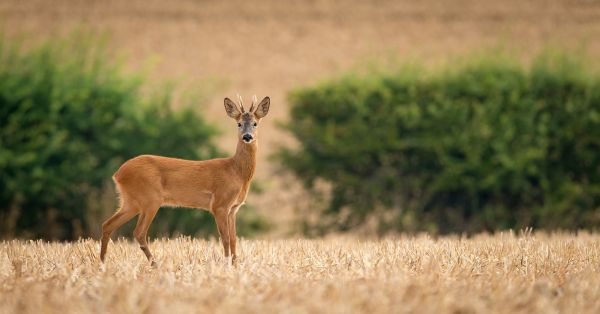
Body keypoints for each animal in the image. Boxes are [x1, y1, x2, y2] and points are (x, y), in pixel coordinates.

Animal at [100, 95, 270, 264]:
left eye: (255, 123)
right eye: (239, 123)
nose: (247, 136)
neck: (236, 172)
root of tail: (118, 174)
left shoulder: (233, 208)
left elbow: (234, 239)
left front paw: (235, 264)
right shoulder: (219, 204)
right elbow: (225, 238)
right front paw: (226, 264)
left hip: (131, 201)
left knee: (107, 224)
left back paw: (102, 262)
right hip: (150, 198)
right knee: (138, 232)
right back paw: (154, 263)